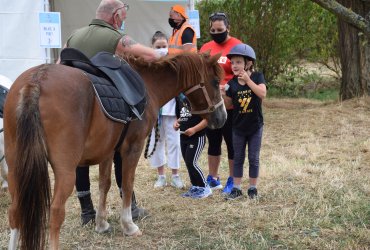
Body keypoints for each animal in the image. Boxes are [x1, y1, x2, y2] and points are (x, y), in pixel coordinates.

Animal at [4, 51, 225, 249]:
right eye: (215, 82)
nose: (222, 117)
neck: (148, 85)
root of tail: (37, 80)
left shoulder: (107, 151)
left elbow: (105, 184)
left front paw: (101, 223)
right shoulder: (132, 149)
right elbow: (126, 185)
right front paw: (128, 225)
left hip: (16, 167)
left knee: (15, 211)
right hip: (65, 171)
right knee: (56, 212)